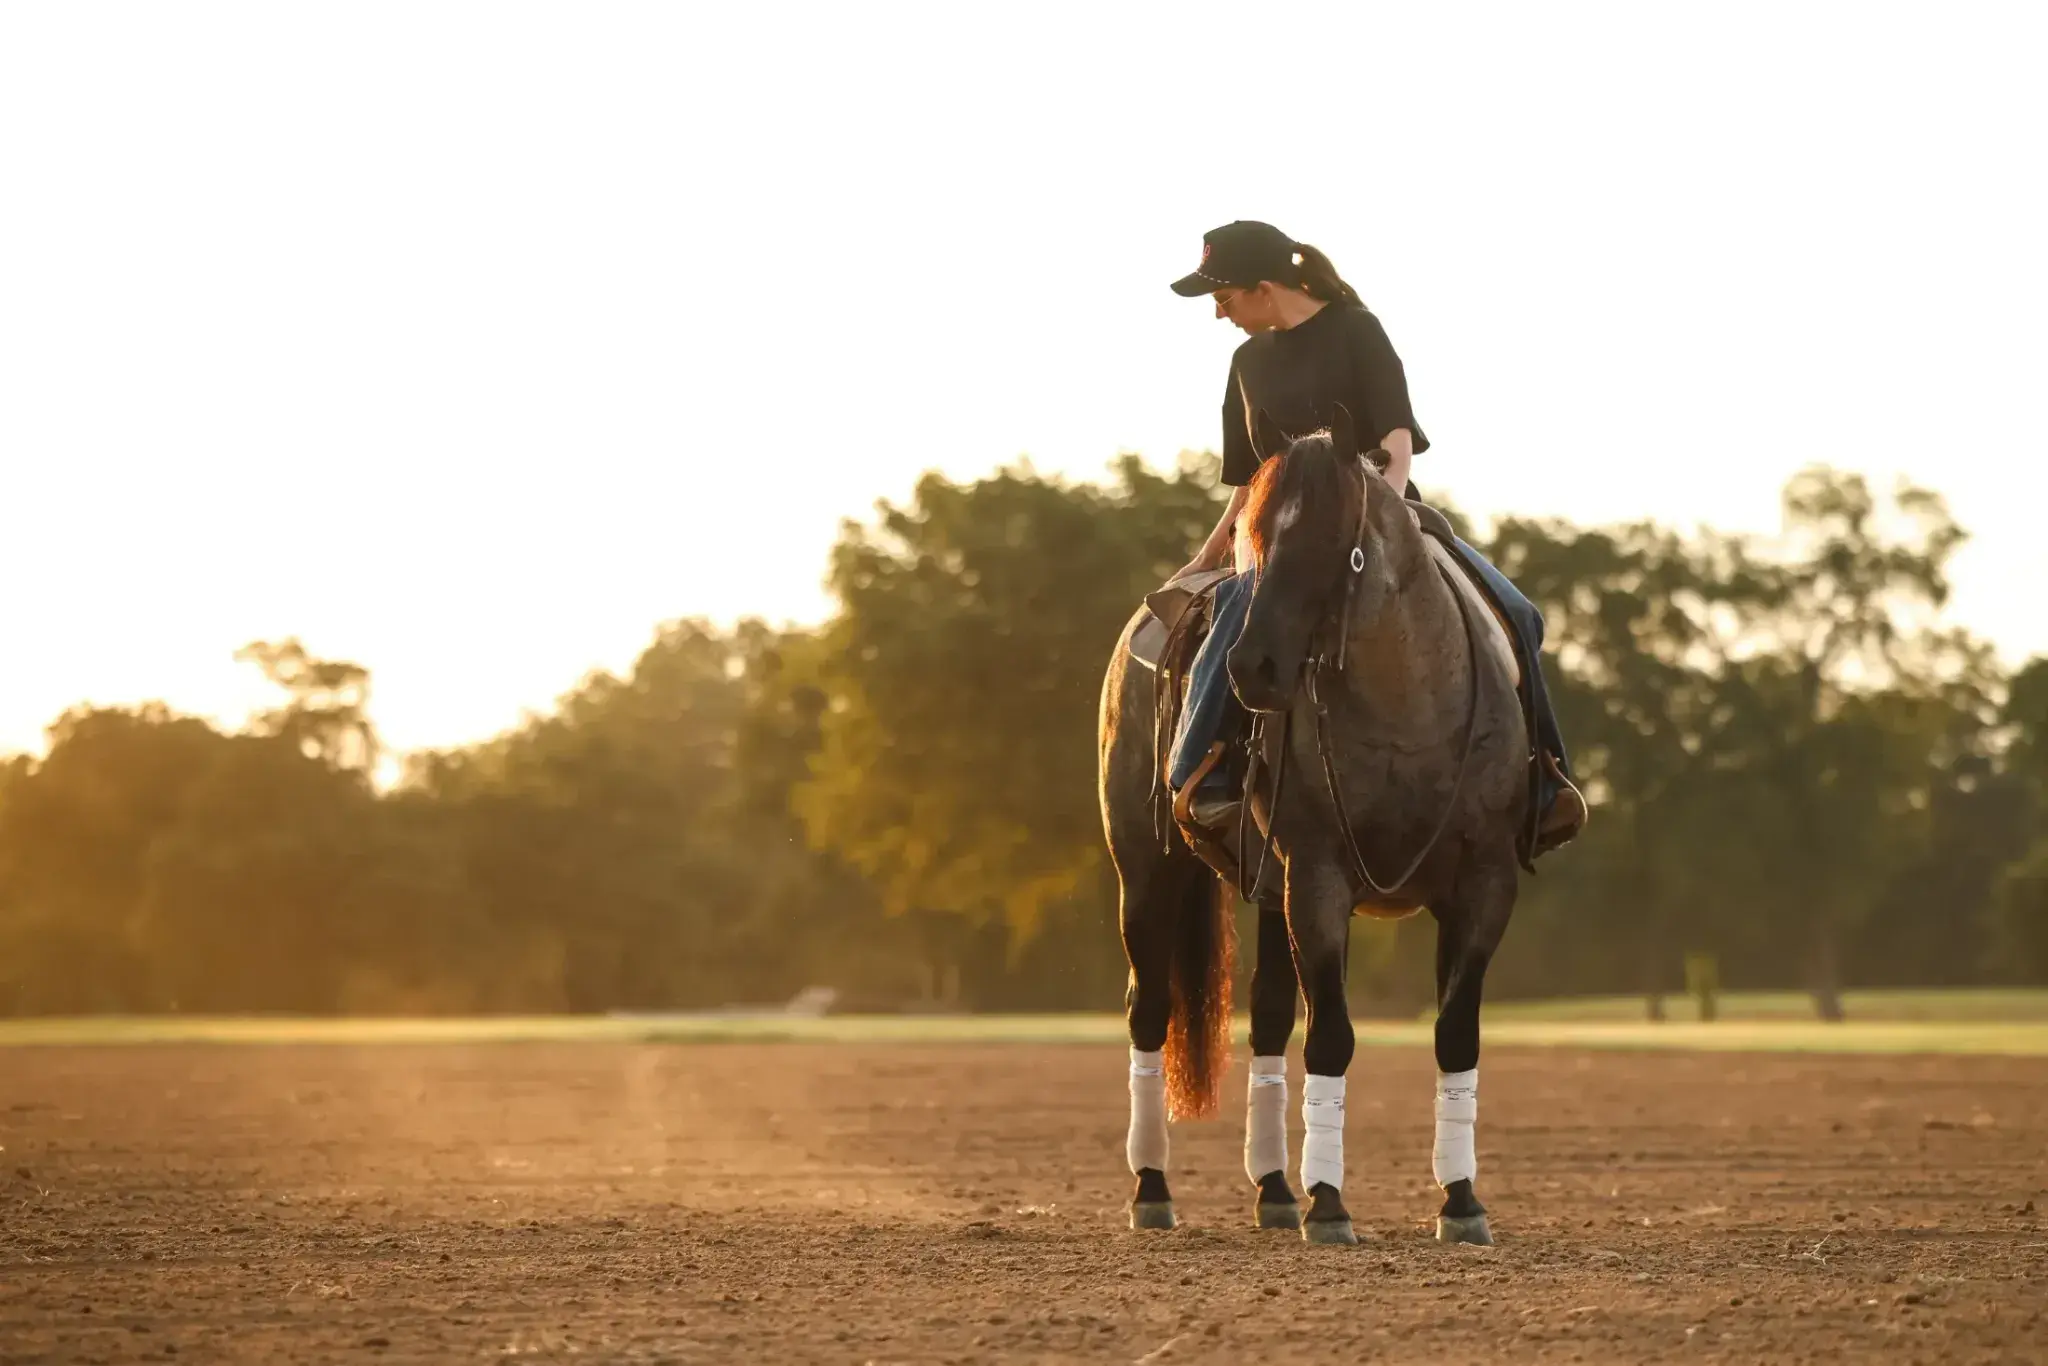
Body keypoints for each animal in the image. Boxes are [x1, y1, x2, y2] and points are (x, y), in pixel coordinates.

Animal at [1097, 404, 1530, 1245]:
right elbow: (1331, 1033)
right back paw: (1152, 1189)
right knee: (1150, 1011)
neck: (1406, 711)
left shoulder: (1484, 882)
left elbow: (1454, 1033)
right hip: (1147, 872)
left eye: (1331, 535)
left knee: (1265, 1016)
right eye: (1255, 532)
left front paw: (1461, 1201)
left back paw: (1272, 1189)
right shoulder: (1320, 880)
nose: (1252, 668)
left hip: (1267, 891)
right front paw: (1330, 1204)